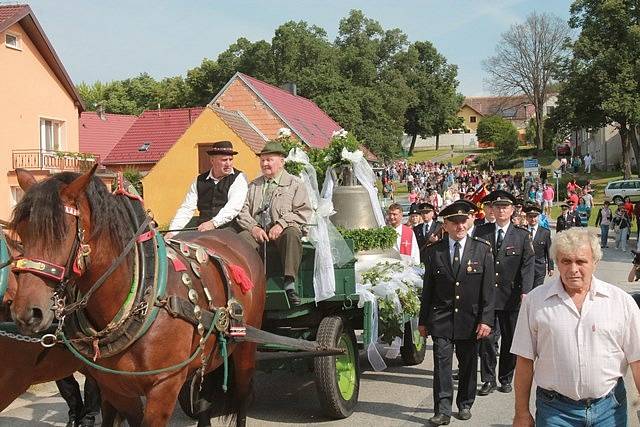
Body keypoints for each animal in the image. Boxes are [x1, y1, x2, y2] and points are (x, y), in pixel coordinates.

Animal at [8, 166, 262, 426]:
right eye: (21, 233)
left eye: (62, 232)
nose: (27, 313)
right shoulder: (115, 389)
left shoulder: (164, 388)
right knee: (203, 399)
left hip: (246, 349)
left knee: (242, 397)